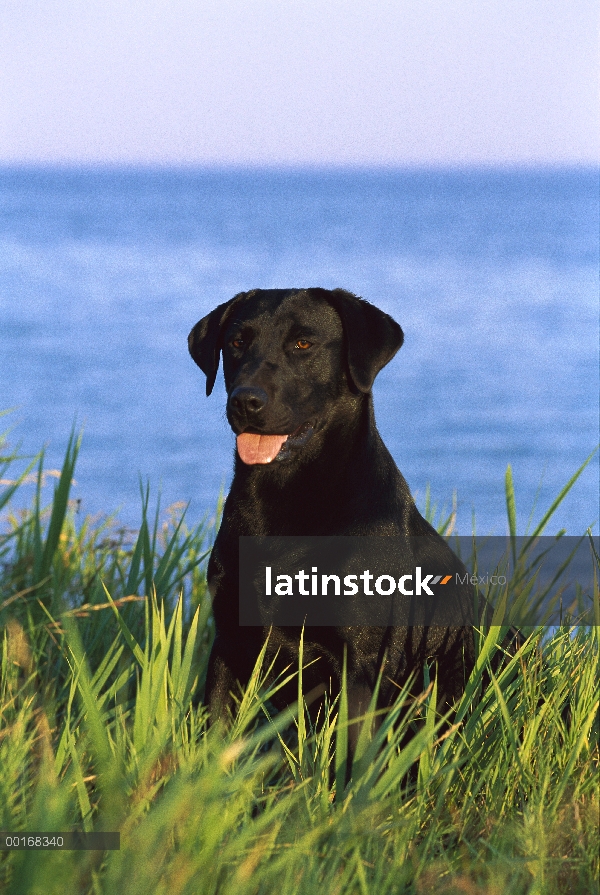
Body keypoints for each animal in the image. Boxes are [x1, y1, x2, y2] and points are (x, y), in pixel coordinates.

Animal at [188, 288, 474, 744]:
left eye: (303, 344)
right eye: (236, 342)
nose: (246, 401)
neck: (284, 499)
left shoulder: (361, 663)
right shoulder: (228, 644)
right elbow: (216, 737)